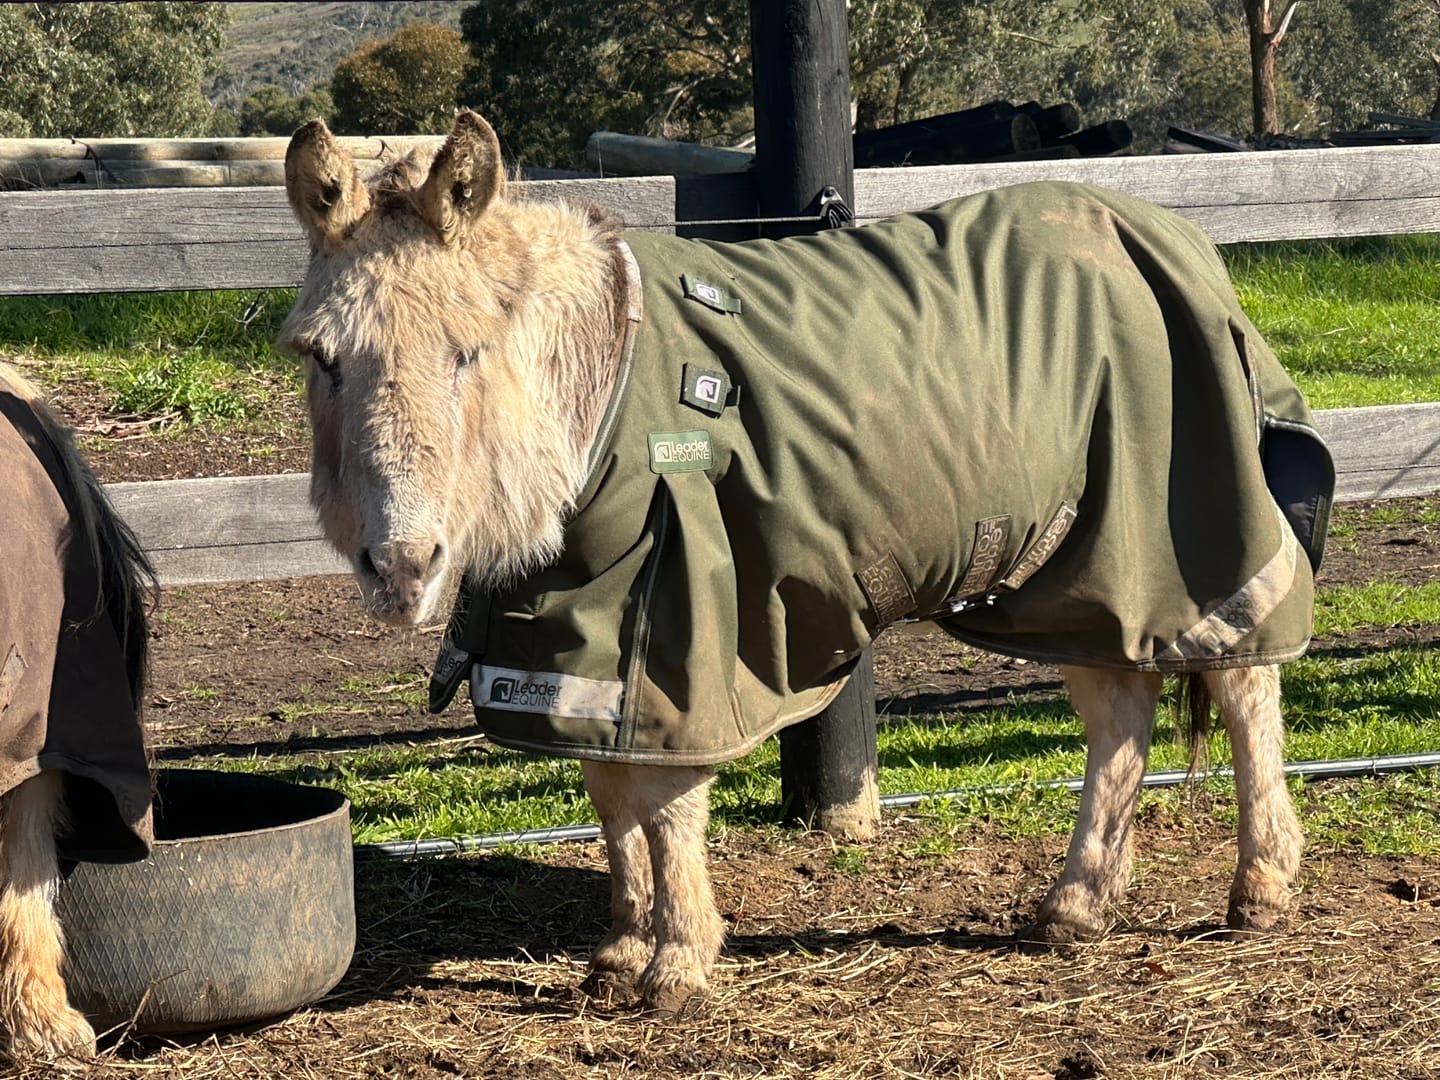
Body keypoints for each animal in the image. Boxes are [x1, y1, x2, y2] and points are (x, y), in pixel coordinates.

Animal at [280, 111, 1332, 1013]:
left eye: (469, 351)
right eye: (323, 358)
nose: (402, 566)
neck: (604, 397)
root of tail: (1180, 239)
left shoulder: (683, 624)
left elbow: (666, 804)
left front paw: (677, 965)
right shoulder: (583, 631)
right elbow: (611, 794)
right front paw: (619, 953)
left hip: (1189, 546)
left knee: (1244, 690)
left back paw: (1262, 889)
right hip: (1083, 573)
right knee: (1120, 712)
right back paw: (1076, 907)